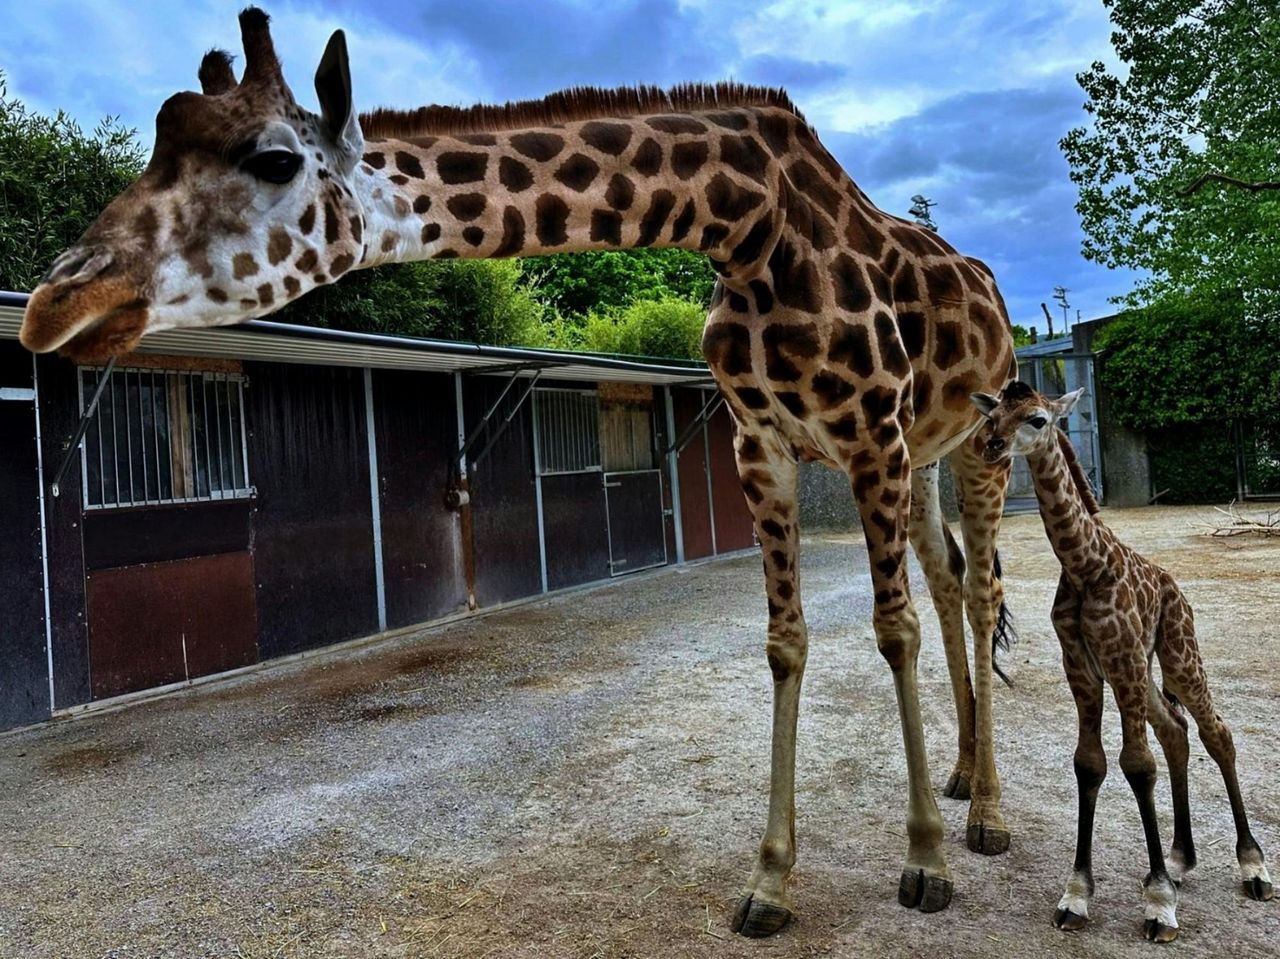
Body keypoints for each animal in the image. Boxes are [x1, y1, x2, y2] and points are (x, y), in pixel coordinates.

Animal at [18, 8, 1021, 935]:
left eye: (272, 160)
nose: (58, 300)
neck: (747, 228)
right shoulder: (762, 446)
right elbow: (787, 640)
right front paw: (770, 881)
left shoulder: (869, 434)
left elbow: (891, 632)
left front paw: (926, 863)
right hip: (925, 456)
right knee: (949, 577)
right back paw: (965, 772)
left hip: (982, 437)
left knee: (975, 593)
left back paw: (988, 817)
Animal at [971, 381, 1273, 943]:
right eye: (993, 414)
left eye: (1038, 419)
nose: (991, 446)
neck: (1084, 564)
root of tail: (1177, 590)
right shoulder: (1083, 666)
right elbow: (1089, 763)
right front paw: (1076, 896)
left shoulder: (1123, 654)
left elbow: (1137, 764)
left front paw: (1158, 906)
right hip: (1143, 673)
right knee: (1176, 729)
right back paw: (1179, 859)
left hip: (1176, 655)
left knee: (1216, 732)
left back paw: (1254, 867)